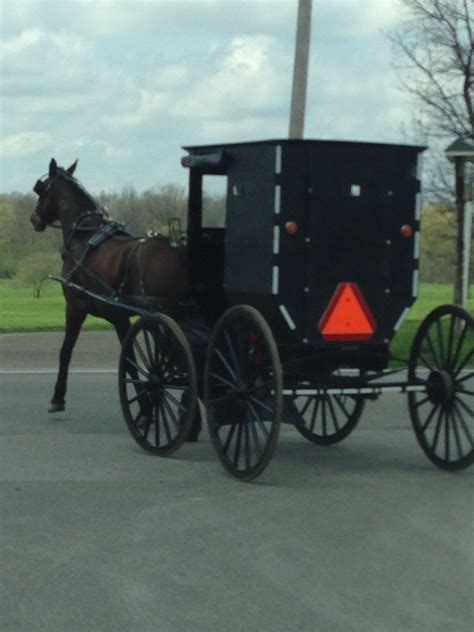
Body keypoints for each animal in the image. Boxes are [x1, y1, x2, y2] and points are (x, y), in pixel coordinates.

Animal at [29, 157, 200, 434]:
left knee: (175, 360)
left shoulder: (77, 307)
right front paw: (146, 407)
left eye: (42, 190)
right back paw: (189, 414)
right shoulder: (121, 317)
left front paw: (57, 398)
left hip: (161, 317)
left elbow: (69, 351)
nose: (34, 218)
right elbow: (130, 361)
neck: (85, 234)